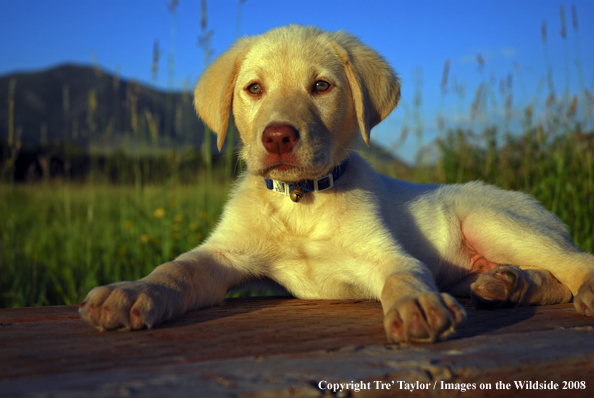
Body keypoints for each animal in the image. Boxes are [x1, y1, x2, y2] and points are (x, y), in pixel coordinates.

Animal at [80, 24, 592, 344]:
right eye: (253, 89)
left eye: (322, 87)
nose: (278, 137)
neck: (301, 199)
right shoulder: (222, 255)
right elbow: (176, 268)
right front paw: (130, 293)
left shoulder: (385, 253)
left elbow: (407, 274)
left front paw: (418, 306)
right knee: (550, 279)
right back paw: (506, 284)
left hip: (492, 220)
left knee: (574, 263)